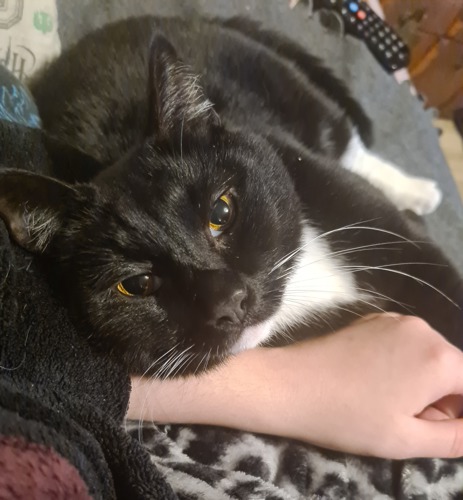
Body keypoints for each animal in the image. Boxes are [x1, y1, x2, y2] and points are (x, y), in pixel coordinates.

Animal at [0, 15, 462, 376]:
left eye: (221, 211)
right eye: (137, 283)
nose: (229, 301)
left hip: (287, 89)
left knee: (348, 141)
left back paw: (421, 191)